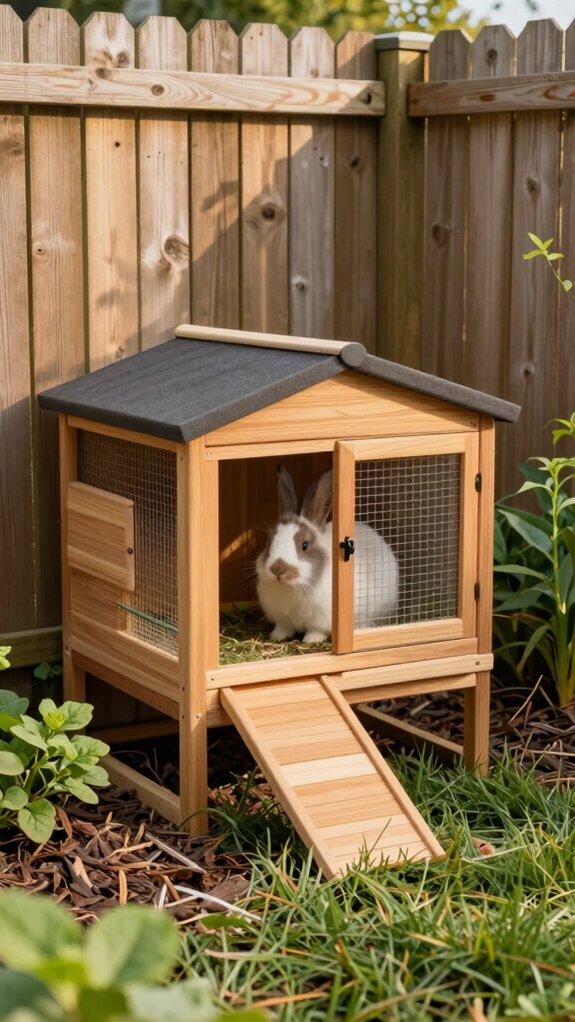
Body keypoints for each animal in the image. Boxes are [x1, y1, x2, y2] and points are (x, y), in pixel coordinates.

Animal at [256, 465, 399, 644]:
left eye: (304, 545)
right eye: (269, 543)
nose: (278, 569)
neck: (294, 586)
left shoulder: (321, 620)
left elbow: (316, 630)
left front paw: (311, 640)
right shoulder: (283, 619)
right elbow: (284, 627)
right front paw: (277, 637)